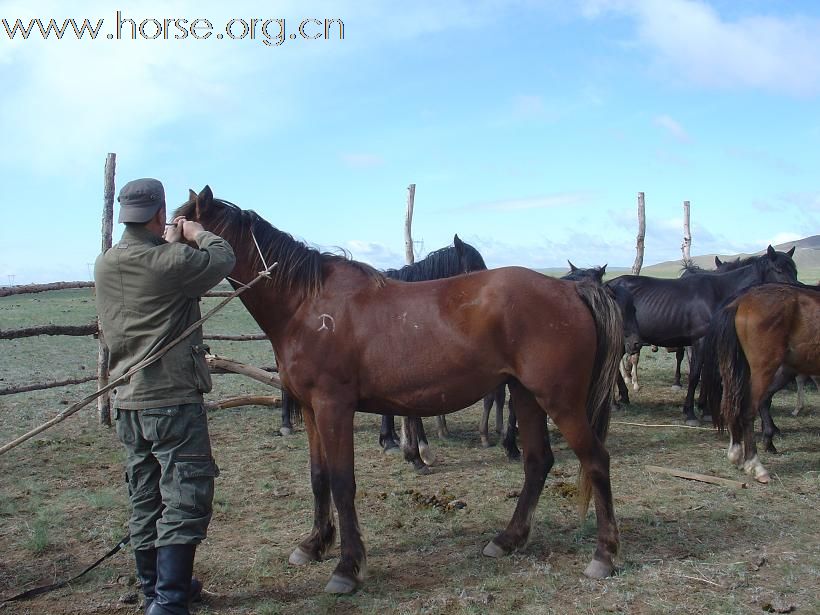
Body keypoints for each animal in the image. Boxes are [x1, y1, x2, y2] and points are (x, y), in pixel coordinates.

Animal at [175, 186, 620, 592]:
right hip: (526, 396)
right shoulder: (311, 410)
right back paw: (508, 539)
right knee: (538, 462)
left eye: (173, 228)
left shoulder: (334, 407)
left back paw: (604, 555)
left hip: (560, 401)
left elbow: (342, 483)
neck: (307, 305)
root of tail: (569, 289)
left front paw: (347, 567)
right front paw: (314, 545)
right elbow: (319, 477)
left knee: (596, 461)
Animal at [608, 244, 796, 424]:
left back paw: (622, 398)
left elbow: (710, 375)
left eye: (794, 270)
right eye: (779, 270)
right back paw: (616, 402)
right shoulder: (700, 341)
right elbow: (696, 374)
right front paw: (690, 413)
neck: (719, 294)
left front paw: (705, 411)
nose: (797, 293)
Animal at [700, 282, 820, 484]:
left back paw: (736, 454)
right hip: (764, 370)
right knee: (748, 410)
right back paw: (756, 466)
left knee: (731, 405)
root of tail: (740, 301)